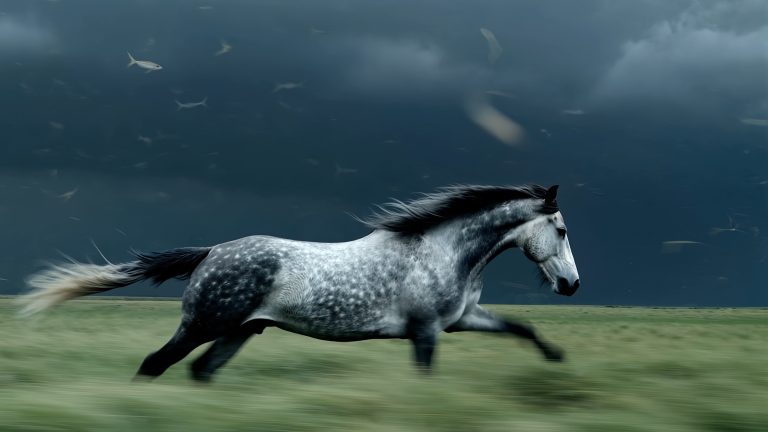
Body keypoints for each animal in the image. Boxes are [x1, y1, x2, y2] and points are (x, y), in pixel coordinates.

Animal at [19, 184, 580, 382]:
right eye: (561, 229)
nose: (572, 286)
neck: (443, 253)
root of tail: (210, 252)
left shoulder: (461, 320)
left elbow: (522, 330)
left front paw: (557, 360)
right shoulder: (425, 332)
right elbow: (426, 377)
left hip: (239, 331)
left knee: (200, 371)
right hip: (203, 325)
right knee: (155, 364)